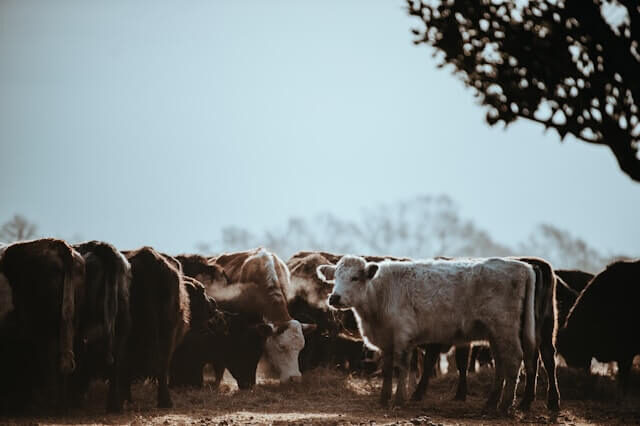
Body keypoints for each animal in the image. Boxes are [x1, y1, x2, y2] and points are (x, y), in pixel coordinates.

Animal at [318, 256, 539, 414]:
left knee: (514, 360)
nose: (334, 297)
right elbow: (388, 369)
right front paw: (383, 399)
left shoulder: (403, 335)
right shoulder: (387, 340)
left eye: (354, 278)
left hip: (505, 328)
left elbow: (402, 367)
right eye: (335, 278)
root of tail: (520, 266)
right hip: (495, 334)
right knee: (501, 363)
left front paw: (399, 400)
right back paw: (491, 403)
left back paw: (504, 406)